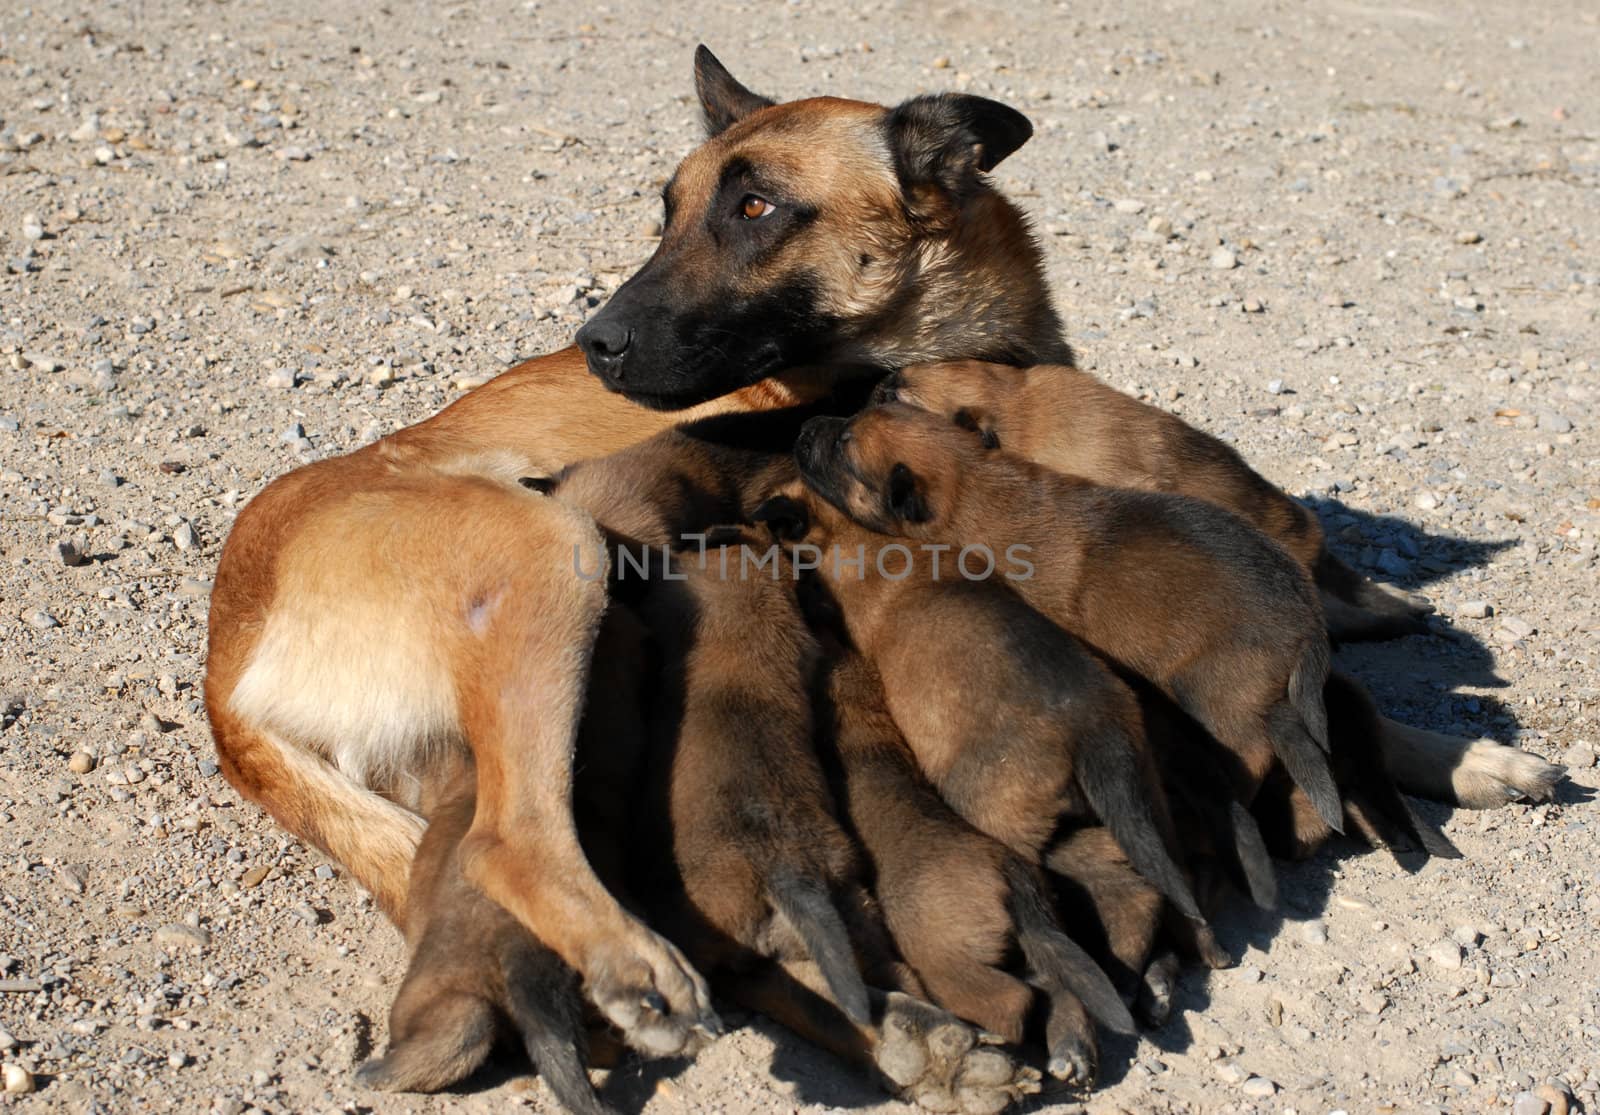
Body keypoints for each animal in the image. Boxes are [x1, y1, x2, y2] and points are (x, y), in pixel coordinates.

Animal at [793, 401, 1344, 831]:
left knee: (1252, 750)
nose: (801, 428)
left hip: (1214, 691)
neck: (972, 483)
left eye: (843, 447)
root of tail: (1309, 620)